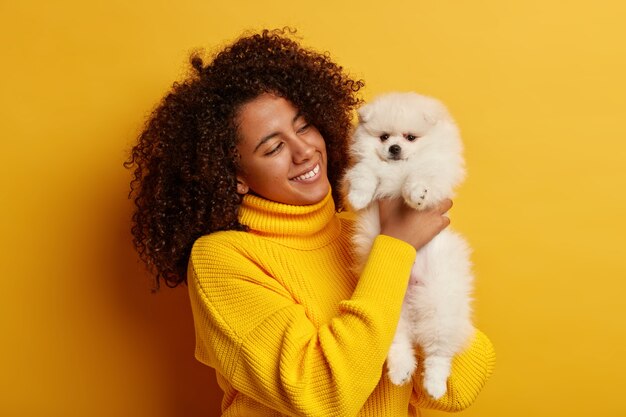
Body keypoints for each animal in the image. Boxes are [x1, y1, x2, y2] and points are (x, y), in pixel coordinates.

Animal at [342, 92, 472, 398]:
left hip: (440, 305)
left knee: (438, 353)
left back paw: (434, 384)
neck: (397, 167)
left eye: (411, 137)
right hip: (390, 314)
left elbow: (421, 175)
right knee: (398, 343)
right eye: (384, 136)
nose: (395, 148)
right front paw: (359, 196)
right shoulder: (362, 168)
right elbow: (364, 173)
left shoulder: (437, 171)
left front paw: (416, 194)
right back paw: (400, 371)